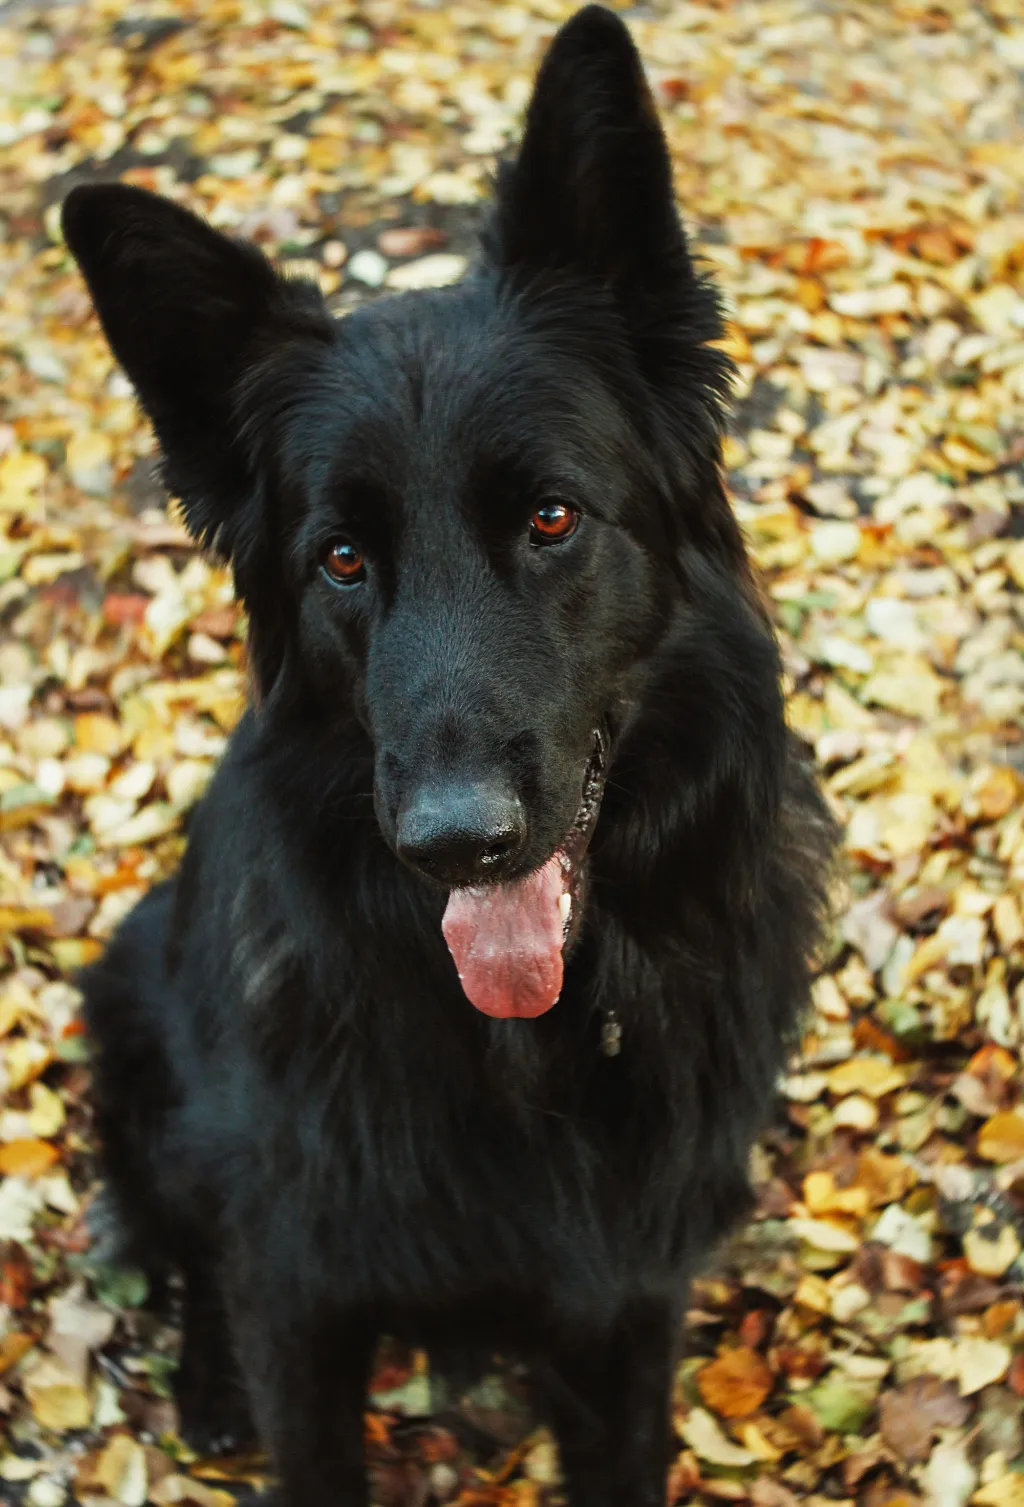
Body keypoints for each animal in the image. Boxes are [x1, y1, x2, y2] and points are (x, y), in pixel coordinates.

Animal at [62, 11, 832, 1507]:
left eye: (552, 518)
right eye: (342, 560)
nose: (455, 840)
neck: (529, 1043)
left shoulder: (629, 1299)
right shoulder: (304, 1296)